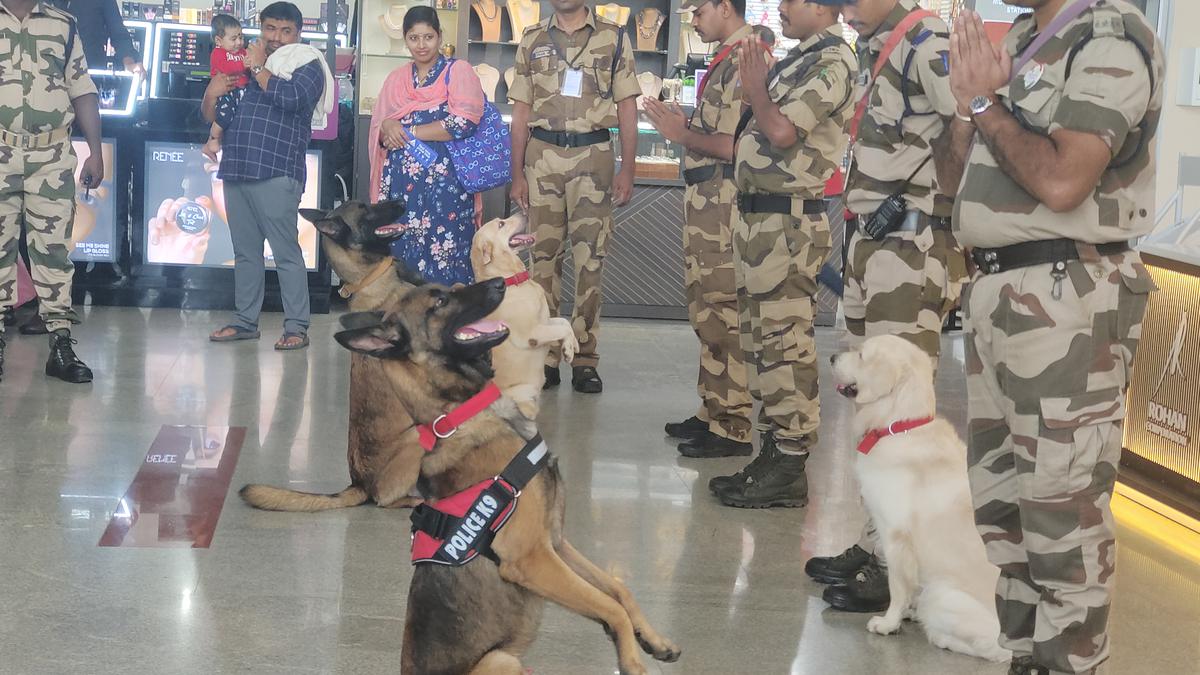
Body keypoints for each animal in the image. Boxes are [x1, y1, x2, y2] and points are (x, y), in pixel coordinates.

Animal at [238, 199, 432, 509]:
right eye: (365, 209)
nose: (402, 201)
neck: (369, 277)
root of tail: (359, 484)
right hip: (414, 439)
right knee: (387, 500)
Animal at [333, 276, 681, 667]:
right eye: (439, 302)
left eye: (447, 287)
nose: (500, 283)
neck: (461, 414)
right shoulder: (531, 559)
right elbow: (611, 606)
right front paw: (632, 662)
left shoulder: (556, 543)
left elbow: (617, 588)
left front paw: (652, 639)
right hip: (499, 659)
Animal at [470, 213, 578, 415]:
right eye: (501, 224)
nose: (525, 212)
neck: (514, 281)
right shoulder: (532, 333)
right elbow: (563, 329)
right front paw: (568, 350)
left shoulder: (544, 321)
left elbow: (564, 323)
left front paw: (572, 344)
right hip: (523, 394)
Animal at [835, 333, 1012, 658]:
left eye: (861, 355)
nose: (831, 358)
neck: (900, 426)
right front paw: (905, 612)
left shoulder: (894, 535)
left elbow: (897, 585)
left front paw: (888, 622)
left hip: (941, 594)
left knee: (990, 649)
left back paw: (939, 635)